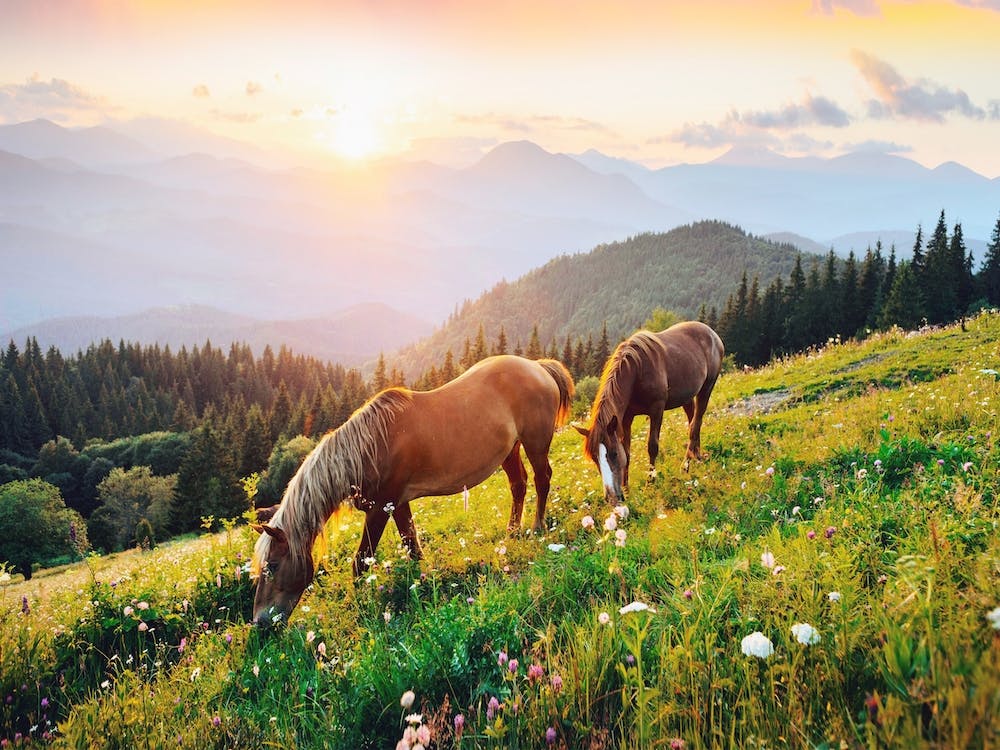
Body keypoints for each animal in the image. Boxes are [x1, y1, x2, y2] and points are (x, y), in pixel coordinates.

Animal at [250, 355, 574, 627]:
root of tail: (537, 366)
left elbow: (360, 563)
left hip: (535, 442)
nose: (260, 623)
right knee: (518, 485)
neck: (369, 448)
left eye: (272, 566)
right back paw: (512, 531)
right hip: (510, 450)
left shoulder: (380, 509)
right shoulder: (398, 504)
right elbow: (412, 545)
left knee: (542, 479)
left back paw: (537, 526)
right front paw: (425, 581)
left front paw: (358, 606)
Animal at [574, 321, 724, 503]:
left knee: (696, 423)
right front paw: (627, 489)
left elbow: (652, 446)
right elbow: (627, 452)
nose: (611, 498)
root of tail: (712, 333)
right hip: (687, 397)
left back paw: (686, 466)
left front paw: (650, 483)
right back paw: (697, 455)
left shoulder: (657, 410)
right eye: (594, 458)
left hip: (707, 387)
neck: (636, 371)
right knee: (692, 421)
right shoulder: (626, 418)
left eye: (614, 454)